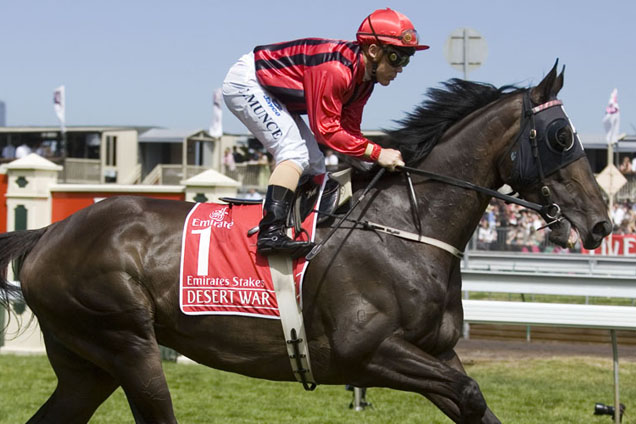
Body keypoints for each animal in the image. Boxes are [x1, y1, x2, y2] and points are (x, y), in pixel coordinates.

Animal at [1, 63, 612, 424]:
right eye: (562, 136)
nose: (603, 224)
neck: (404, 228)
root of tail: (48, 232)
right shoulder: (367, 350)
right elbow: (469, 393)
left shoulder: (435, 353)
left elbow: (473, 401)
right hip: (127, 345)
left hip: (90, 364)